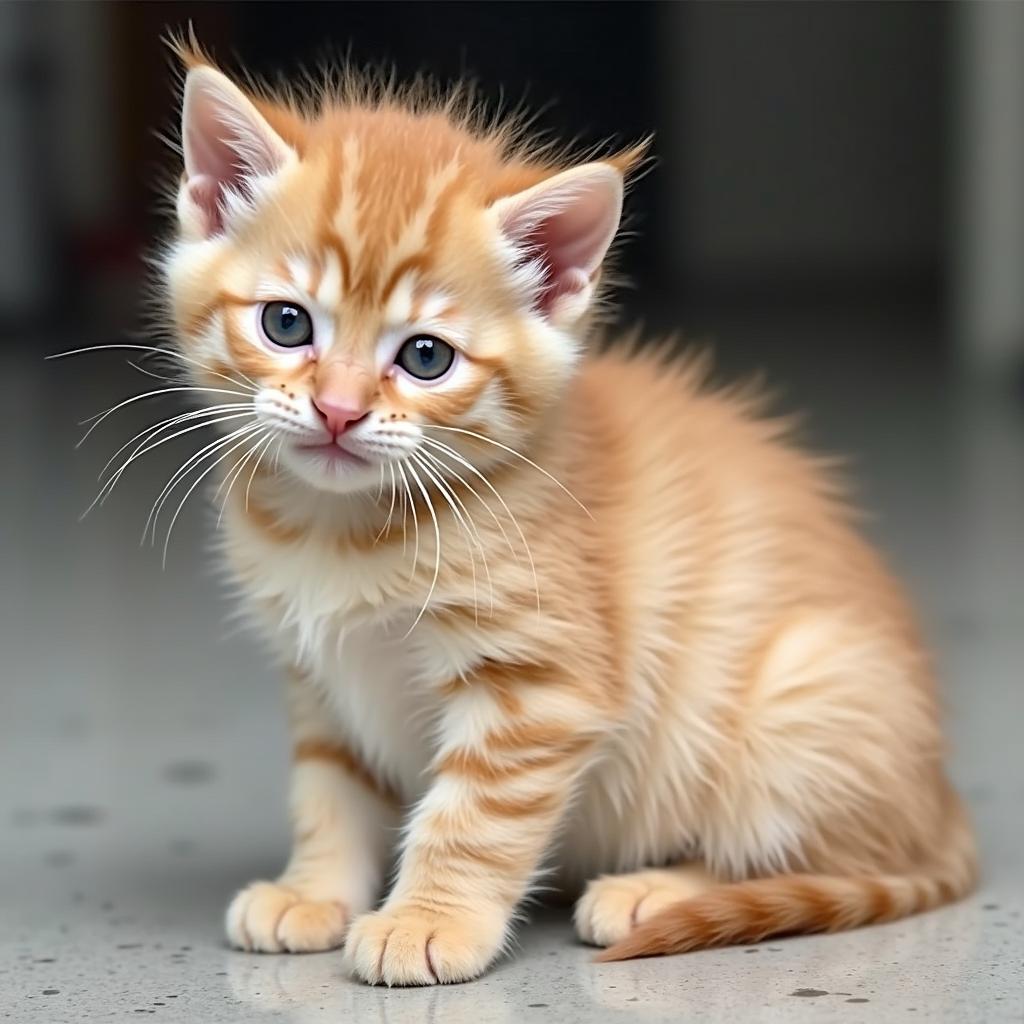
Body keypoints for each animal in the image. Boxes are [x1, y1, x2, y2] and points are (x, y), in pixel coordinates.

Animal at [151, 46, 974, 983]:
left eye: (425, 357)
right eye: (287, 324)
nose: (338, 410)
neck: (343, 528)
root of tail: (943, 807)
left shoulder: (540, 689)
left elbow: (474, 818)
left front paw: (428, 920)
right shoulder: (321, 682)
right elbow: (330, 789)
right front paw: (314, 890)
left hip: (800, 702)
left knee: (826, 859)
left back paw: (654, 890)